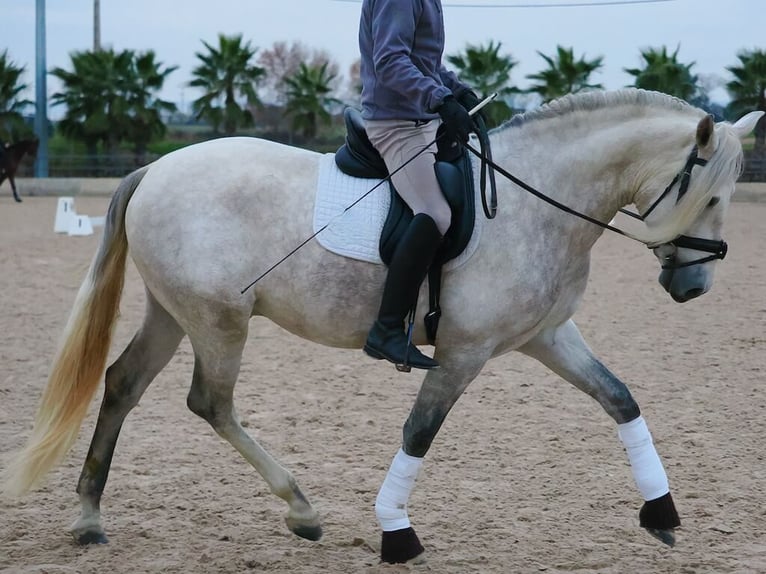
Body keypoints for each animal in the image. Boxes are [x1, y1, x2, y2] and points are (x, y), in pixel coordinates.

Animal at [3, 91, 764, 568]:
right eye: (711, 195)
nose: (693, 288)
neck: (539, 200)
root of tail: (155, 167)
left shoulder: (547, 336)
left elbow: (620, 398)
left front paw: (662, 514)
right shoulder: (463, 352)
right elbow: (418, 433)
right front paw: (398, 535)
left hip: (174, 313)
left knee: (123, 384)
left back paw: (89, 519)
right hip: (219, 320)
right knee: (209, 403)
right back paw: (301, 509)